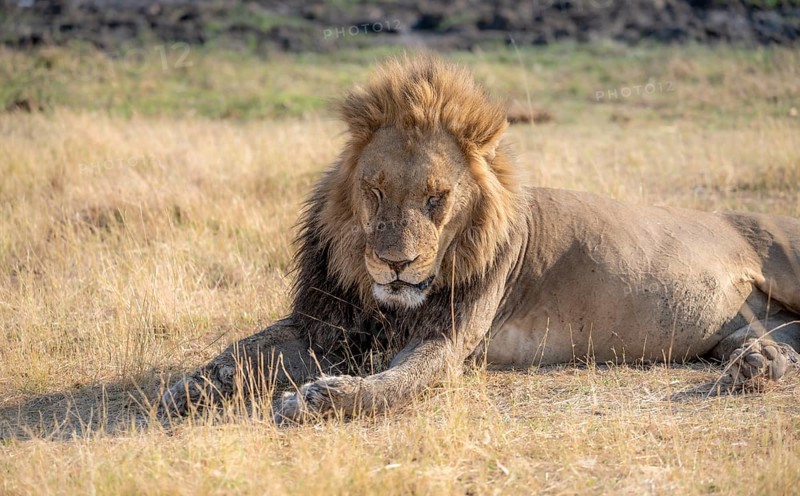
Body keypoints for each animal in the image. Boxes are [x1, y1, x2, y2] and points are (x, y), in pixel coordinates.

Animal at [162, 55, 800, 422]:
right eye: (374, 191)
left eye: (436, 199)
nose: (395, 264)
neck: (382, 300)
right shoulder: (325, 321)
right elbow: (242, 351)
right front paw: (187, 387)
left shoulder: (446, 340)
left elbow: (396, 385)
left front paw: (321, 398)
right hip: (739, 327)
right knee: (783, 341)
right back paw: (759, 364)